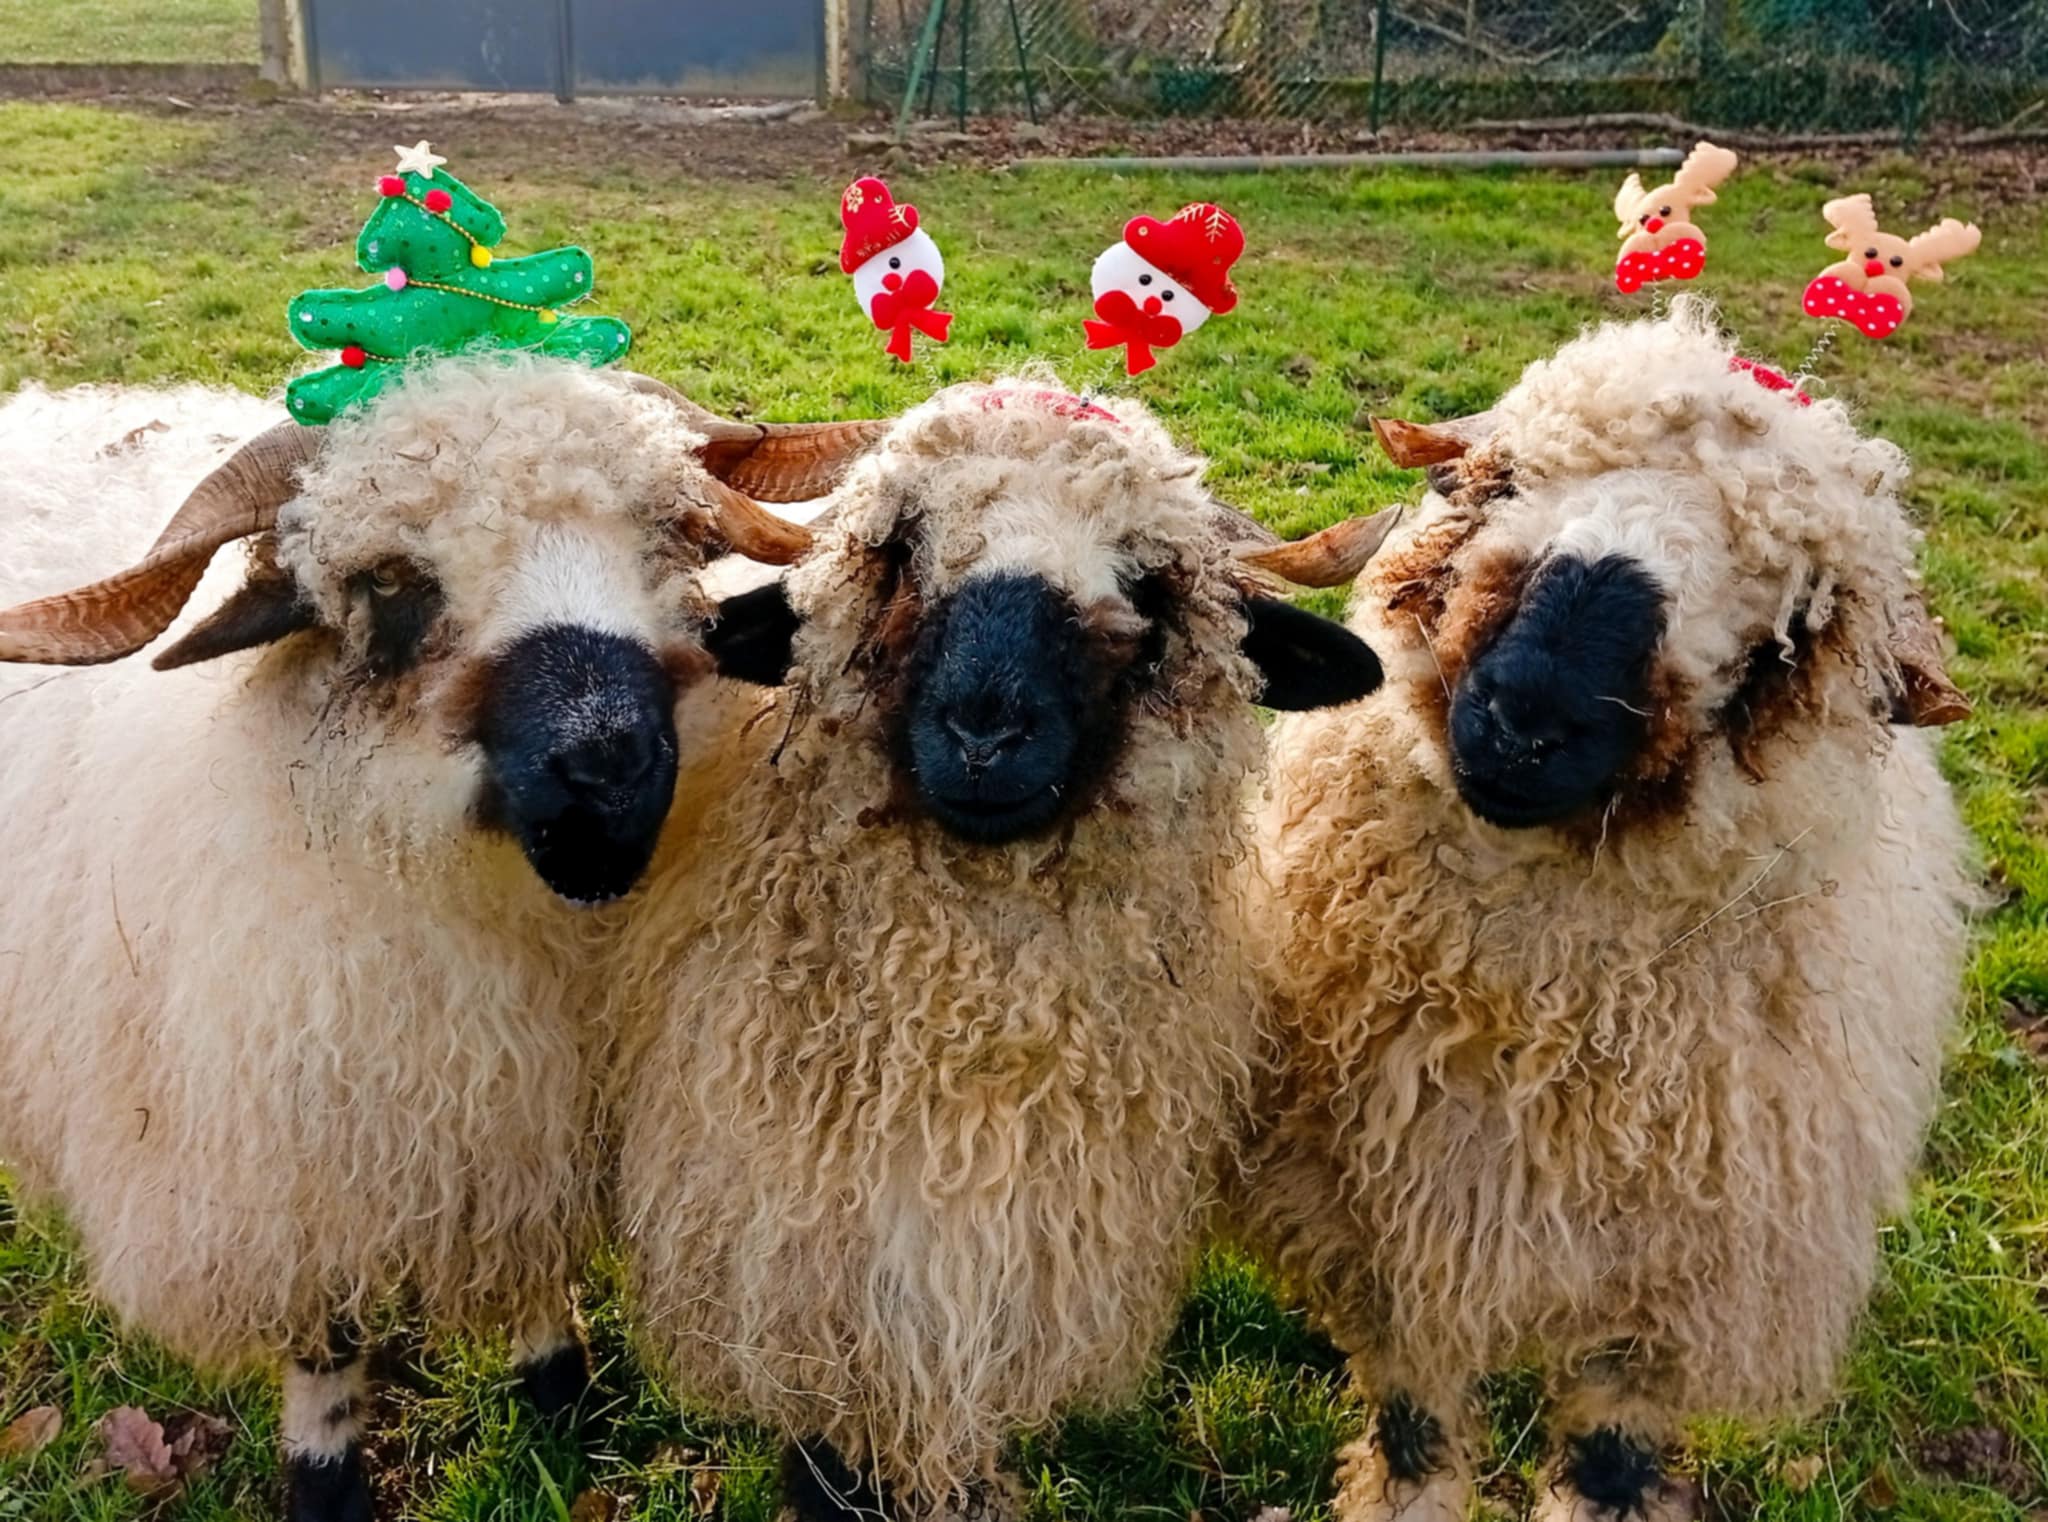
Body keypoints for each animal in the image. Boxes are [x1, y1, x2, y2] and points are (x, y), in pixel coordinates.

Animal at [0, 357, 878, 1522]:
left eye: (679, 533)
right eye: (386, 580)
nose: (607, 770)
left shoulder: (528, 1105)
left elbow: (536, 1245)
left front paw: (559, 1391)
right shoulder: (294, 1150)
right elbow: (325, 1339)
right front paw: (326, 1485)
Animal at [1236, 299, 1974, 1522]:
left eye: (1790, 612)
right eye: (1493, 483)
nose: (1527, 717)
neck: (1534, 1012)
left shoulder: (1664, 1309)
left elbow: (1610, 1466)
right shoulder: (1399, 1239)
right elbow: (1413, 1434)